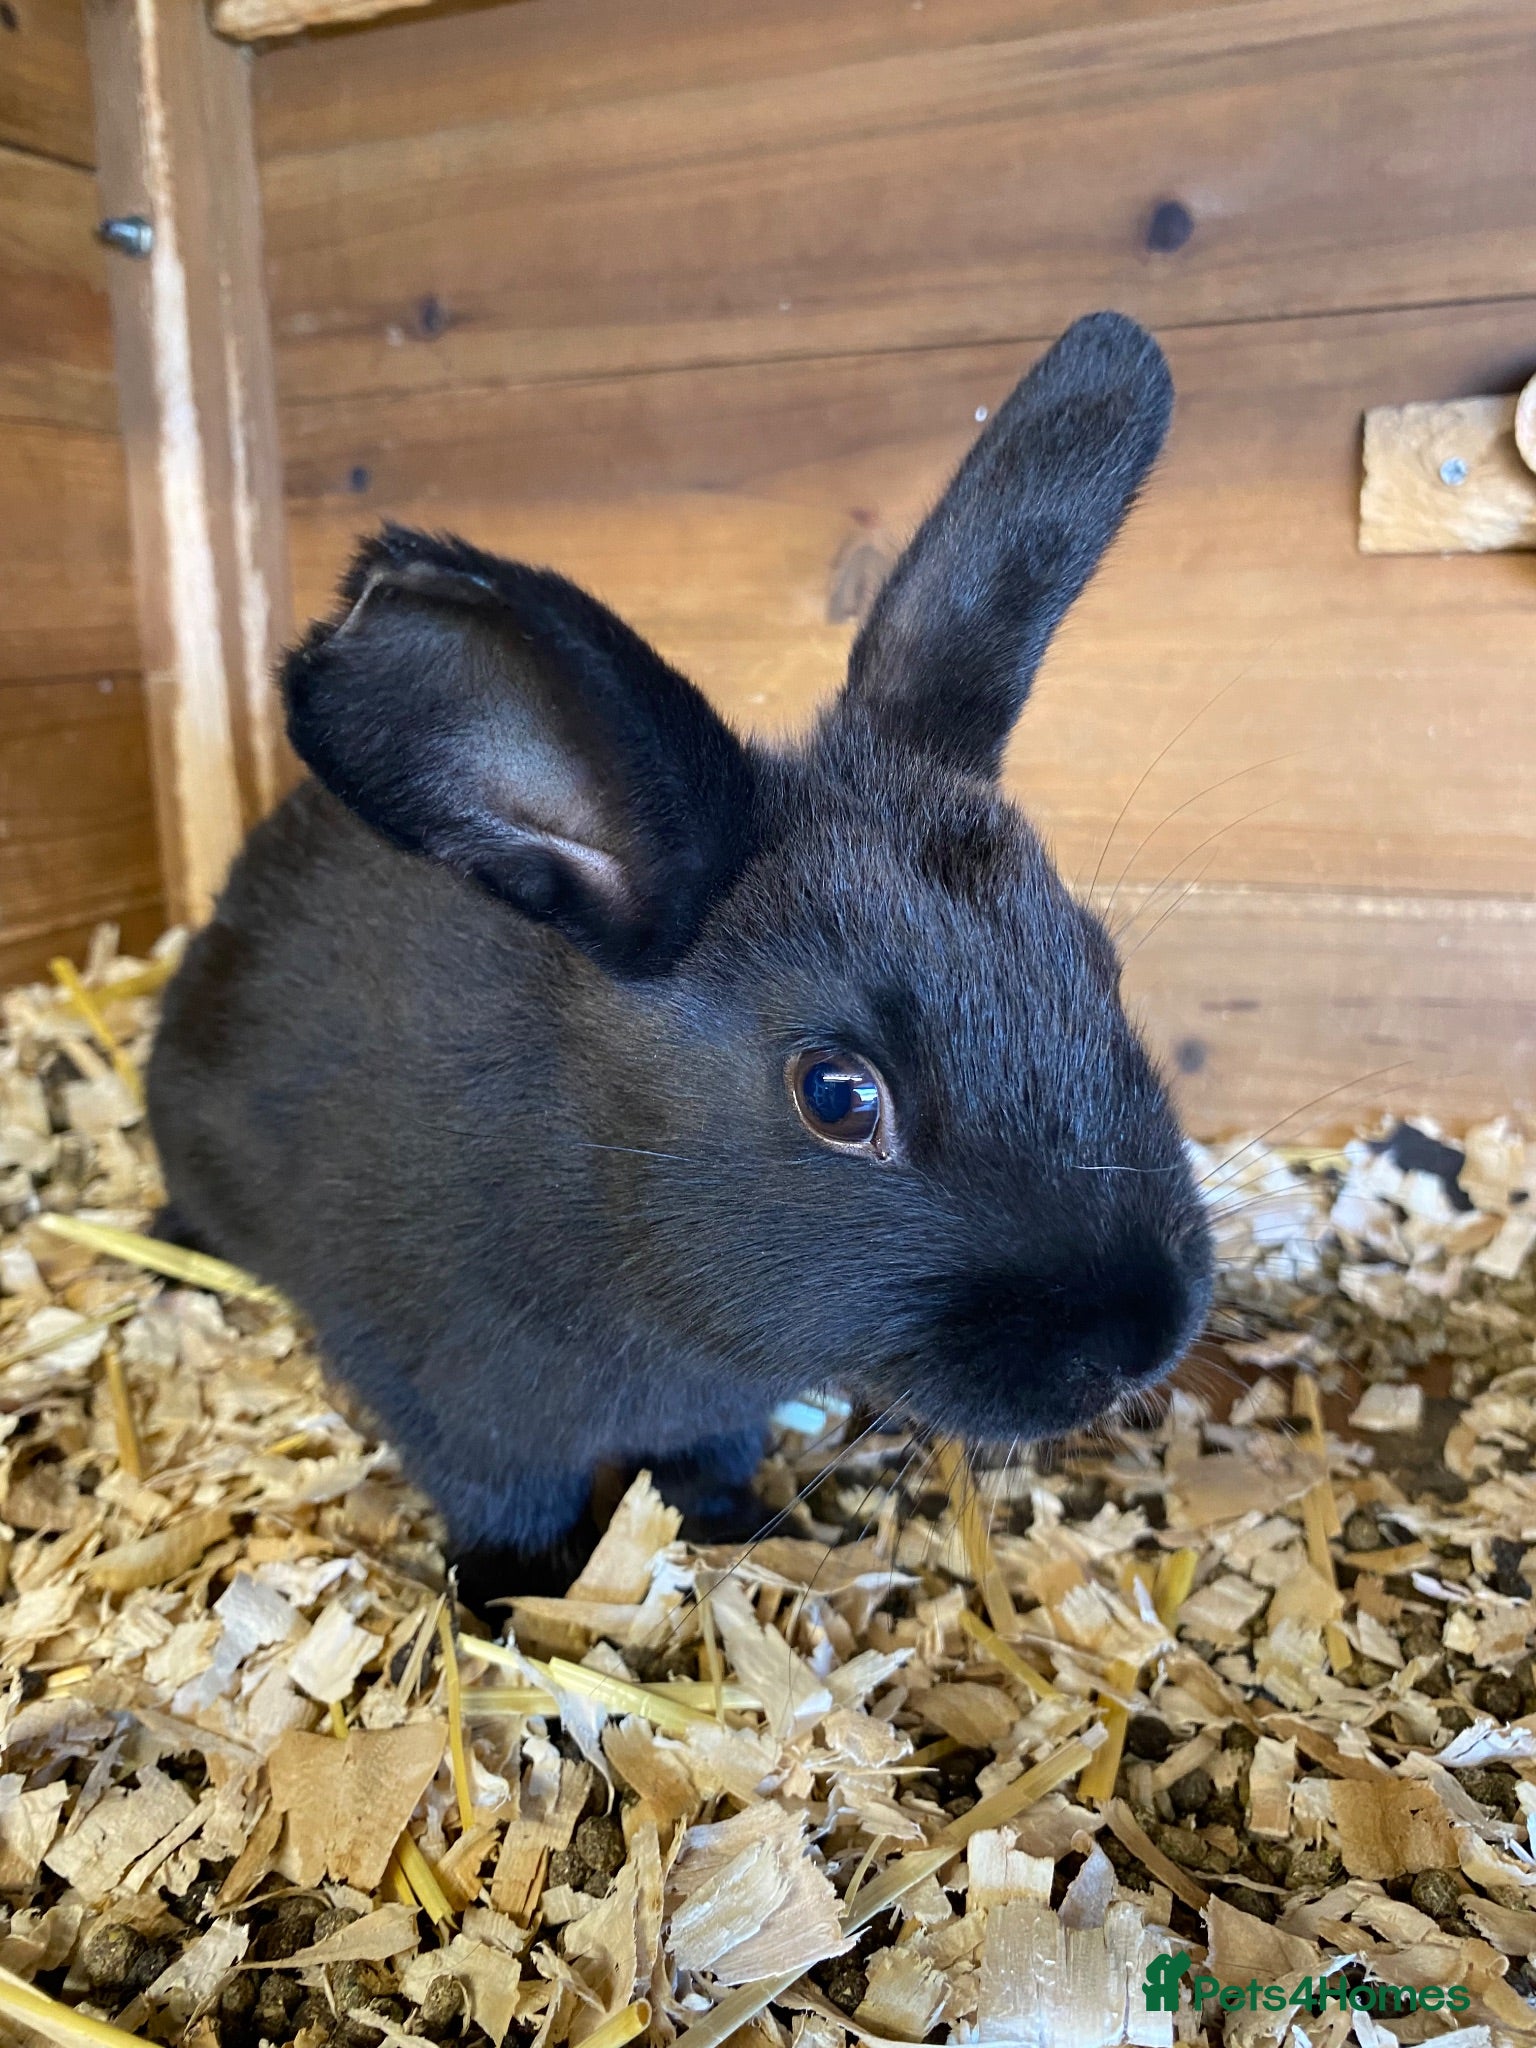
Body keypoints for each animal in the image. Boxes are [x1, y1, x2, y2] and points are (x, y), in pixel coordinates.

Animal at [147, 310, 1214, 1597]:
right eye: (837, 1093)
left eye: (1100, 962)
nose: (1143, 1334)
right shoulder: (449, 1396)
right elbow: (505, 1492)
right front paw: (511, 1589)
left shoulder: (715, 1407)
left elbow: (703, 1457)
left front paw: (725, 1524)